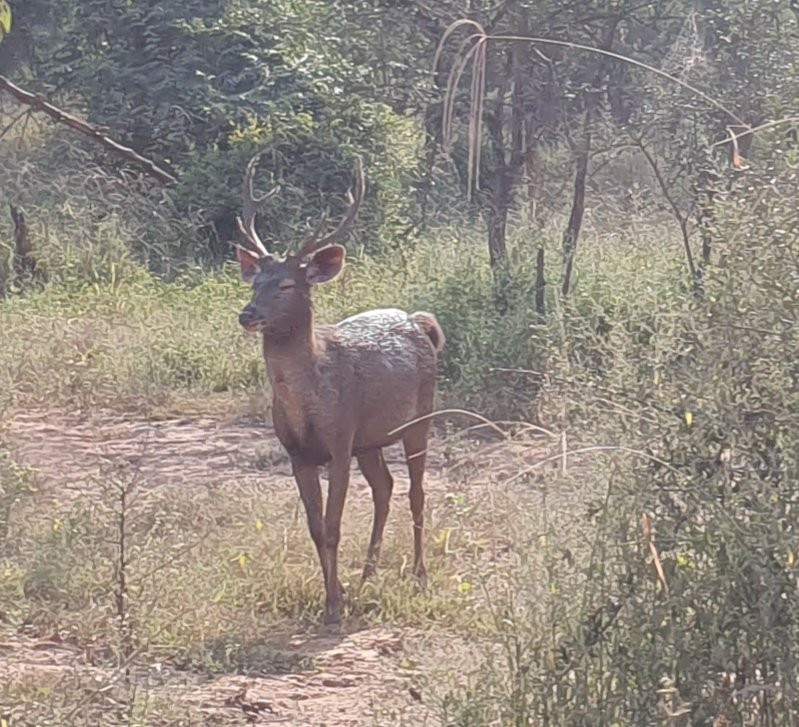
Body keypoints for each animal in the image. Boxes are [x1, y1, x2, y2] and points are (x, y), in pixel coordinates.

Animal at [234, 154, 446, 624]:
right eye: (254, 281)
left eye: (287, 284)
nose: (247, 314)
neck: (306, 402)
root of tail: (420, 321)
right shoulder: (298, 453)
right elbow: (316, 528)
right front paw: (337, 593)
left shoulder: (340, 439)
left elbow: (333, 526)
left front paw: (334, 607)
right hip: (371, 439)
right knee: (385, 488)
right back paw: (368, 573)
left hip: (420, 418)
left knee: (417, 493)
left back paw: (420, 575)